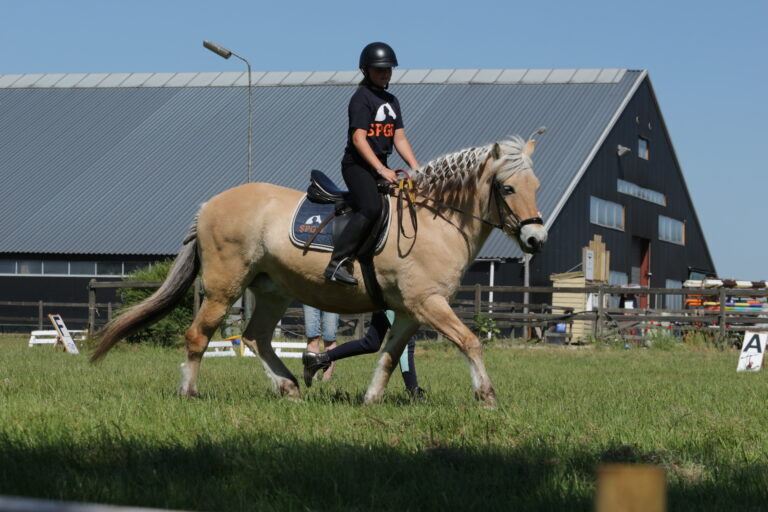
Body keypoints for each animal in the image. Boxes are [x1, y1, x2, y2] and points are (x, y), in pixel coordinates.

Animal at [91, 134, 544, 406]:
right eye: (507, 188)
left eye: (535, 187)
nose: (536, 239)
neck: (436, 221)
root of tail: (210, 204)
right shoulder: (427, 303)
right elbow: (470, 342)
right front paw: (487, 397)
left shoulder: (411, 310)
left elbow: (389, 354)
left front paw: (371, 399)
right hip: (224, 287)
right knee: (198, 335)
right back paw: (189, 392)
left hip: (271, 290)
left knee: (256, 338)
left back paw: (290, 386)